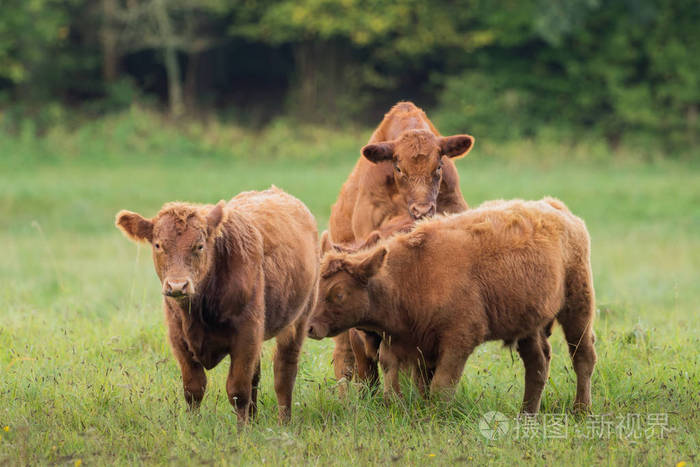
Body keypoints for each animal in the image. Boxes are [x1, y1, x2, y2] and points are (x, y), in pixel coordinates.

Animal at [116, 187, 318, 424]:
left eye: (199, 246)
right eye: (158, 245)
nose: (177, 285)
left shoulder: (246, 334)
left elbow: (238, 390)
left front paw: (242, 431)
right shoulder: (178, 337)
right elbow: (194, 388)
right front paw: (193, 425)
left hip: (298, 320)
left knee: (284, 372)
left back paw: (283, 422)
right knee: (257, 376)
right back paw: (255, 420)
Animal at [308, 197, 600, 414]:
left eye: (338, 293)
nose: (310, 327)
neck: (411, 273)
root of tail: (558, 209)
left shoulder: (457, 342)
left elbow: (440, 387)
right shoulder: (407, 344)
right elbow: (401, 381)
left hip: (578, 307)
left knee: (582, 356)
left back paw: (581, 410)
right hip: (528, 324)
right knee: (537, 363)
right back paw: (526, 414)